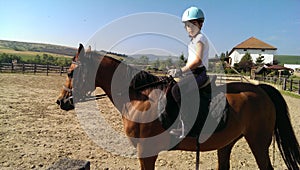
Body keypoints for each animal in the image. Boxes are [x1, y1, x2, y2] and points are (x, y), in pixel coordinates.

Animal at [56, 44, 300, 169]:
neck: (138, 97)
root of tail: (261, 90)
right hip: (228, 142)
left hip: (258, 142)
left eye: (71, 73)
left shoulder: (146, 153)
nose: (60, 101)